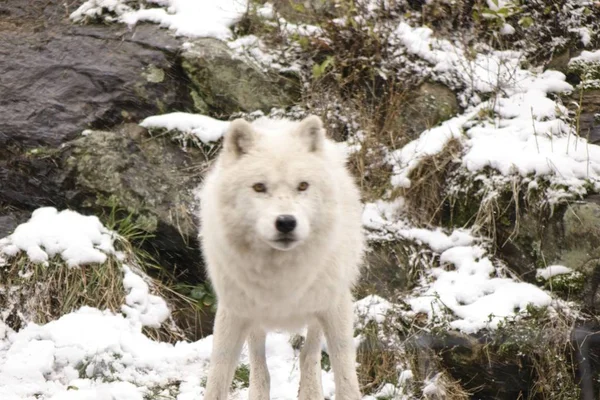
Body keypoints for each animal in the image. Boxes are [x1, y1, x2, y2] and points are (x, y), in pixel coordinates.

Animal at [199, 114, 364, 398]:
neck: (280, 274)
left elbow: (346, 380)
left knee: (309, 354)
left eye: (303, 186)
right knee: (259, 364)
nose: (286, 222)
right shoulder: (233, 312)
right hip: (253, 316)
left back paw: (310, 391)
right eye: (259, 187)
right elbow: (217, 380)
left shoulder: (335, 306)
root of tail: (278, 122)